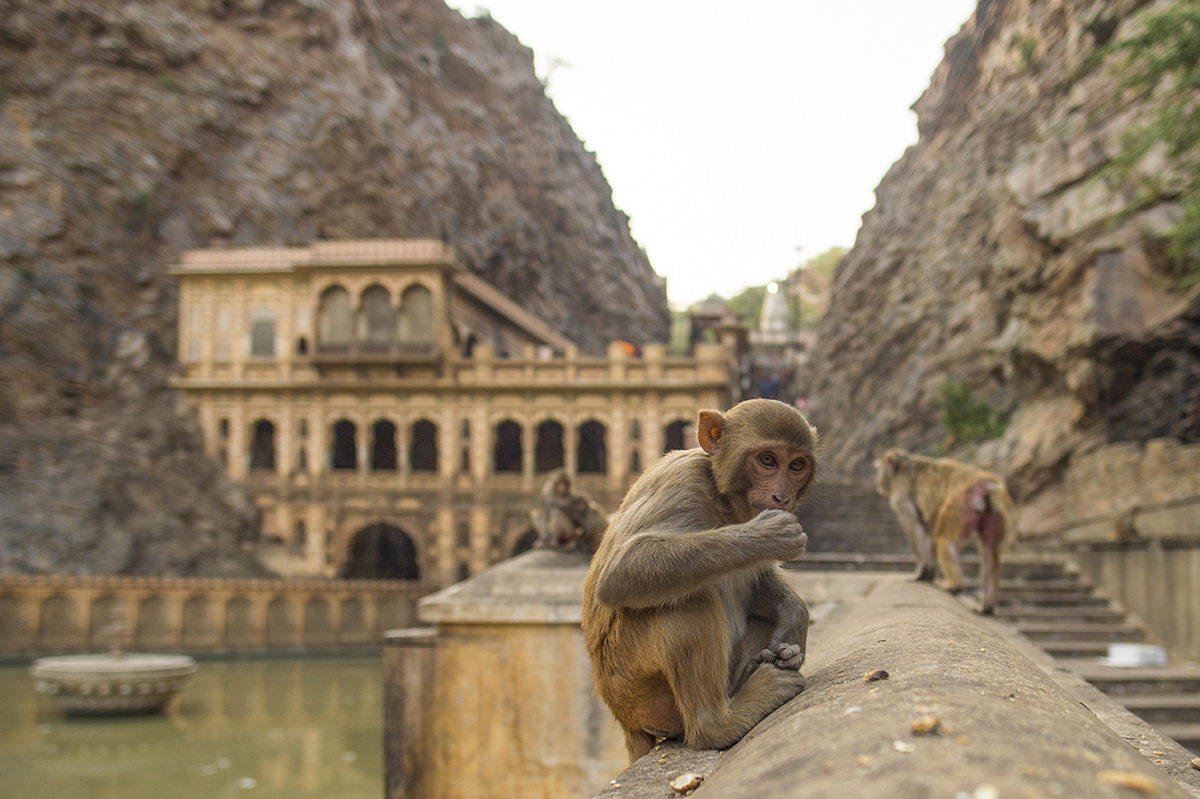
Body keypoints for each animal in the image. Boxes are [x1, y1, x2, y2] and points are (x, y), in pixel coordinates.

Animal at [578, 398, 816, 758]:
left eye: (797, 465)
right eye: (767, 460)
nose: (782, 497)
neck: (723, 500)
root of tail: (622, 716)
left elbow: (758, 584)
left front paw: (793, 620)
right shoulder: (683, 483)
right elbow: (621, 571)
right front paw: (767, 535)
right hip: (633, 683)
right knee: (688, 599)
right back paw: (719, 724)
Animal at [873, 448, 1012, 609]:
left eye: (880, 468)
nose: (878, 480)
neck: (903, 465)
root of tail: (987, 483)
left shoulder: (900, 496)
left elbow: (915, 527)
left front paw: (919, 574)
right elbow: (929, 532)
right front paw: (928, 575)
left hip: (958, 506)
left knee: (945, 540)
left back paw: (954, 585)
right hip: (995, 516)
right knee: (990, 551)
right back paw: (986, 607)